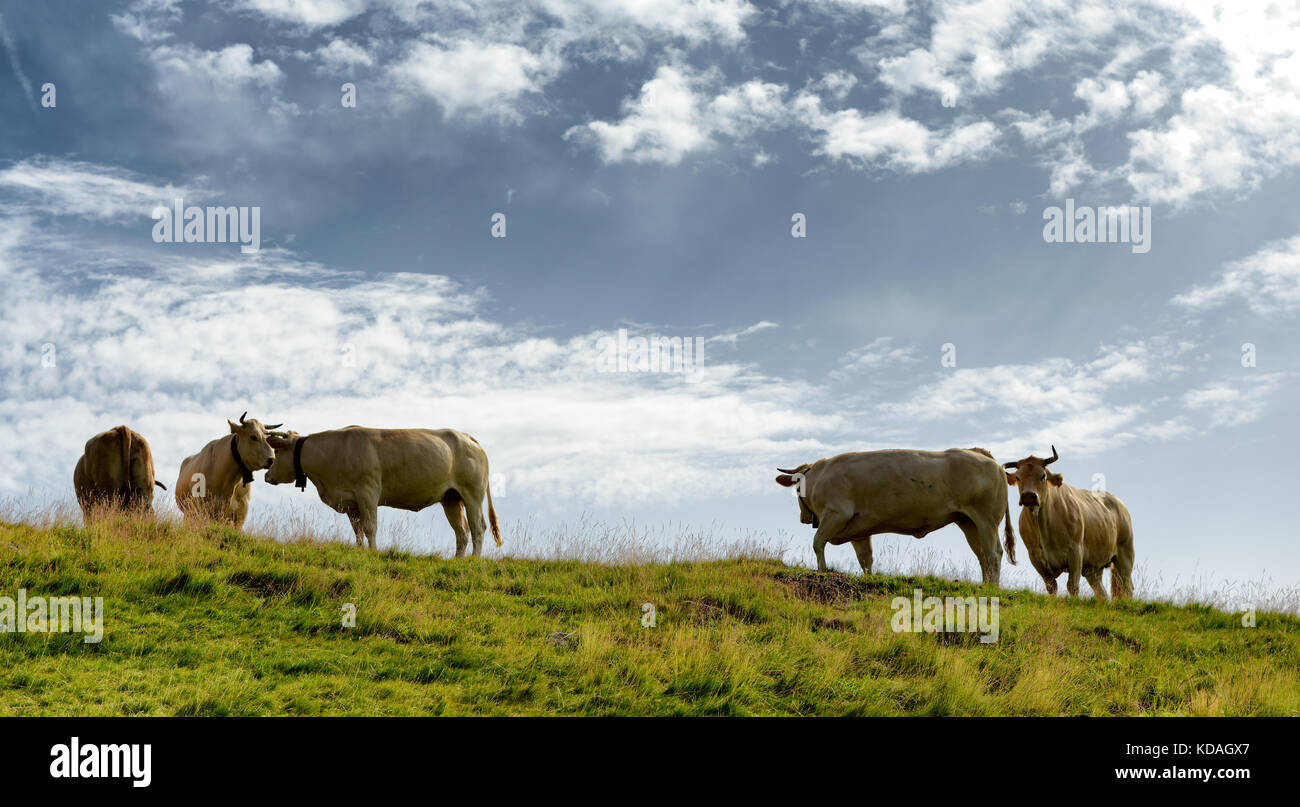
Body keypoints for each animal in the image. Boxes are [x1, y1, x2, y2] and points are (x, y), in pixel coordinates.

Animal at [263, 426, 501, 556]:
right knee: (462, 532)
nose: (267, 475)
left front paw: (373, 552)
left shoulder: (368, 491)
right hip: (451, 498)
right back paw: (457, 560)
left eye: (278, 450)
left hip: (472, 494)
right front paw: (360, 551)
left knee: (478, 527)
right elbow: (357, 530)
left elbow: (370, 527)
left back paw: (473, 560)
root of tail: (467, 437)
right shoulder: (351, 501)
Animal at [775, 448, 1016, 585]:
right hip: (968, 522)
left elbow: (818, 543)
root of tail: (984, 456)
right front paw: (869, 580)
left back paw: (992, 588)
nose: (803, 518)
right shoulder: (859, 531)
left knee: (993, 553)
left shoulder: (836, 514)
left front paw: (822, 571)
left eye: (797, 488)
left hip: (986, 520)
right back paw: (984, 585)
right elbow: (865, 559)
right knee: (982, 555)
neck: (820, 476)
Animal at [1003, 446, 1134, 600]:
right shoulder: (1035, 557)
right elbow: (1051, 586)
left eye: (1043, 476)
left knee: (1127, 588)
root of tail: (1118, 502)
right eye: (1018, 477)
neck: (1043, 527)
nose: (1029, 496)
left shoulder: (1076, 552)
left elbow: (1072, 586)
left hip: (1125, 557)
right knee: (1101, 592)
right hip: (1093, 568)